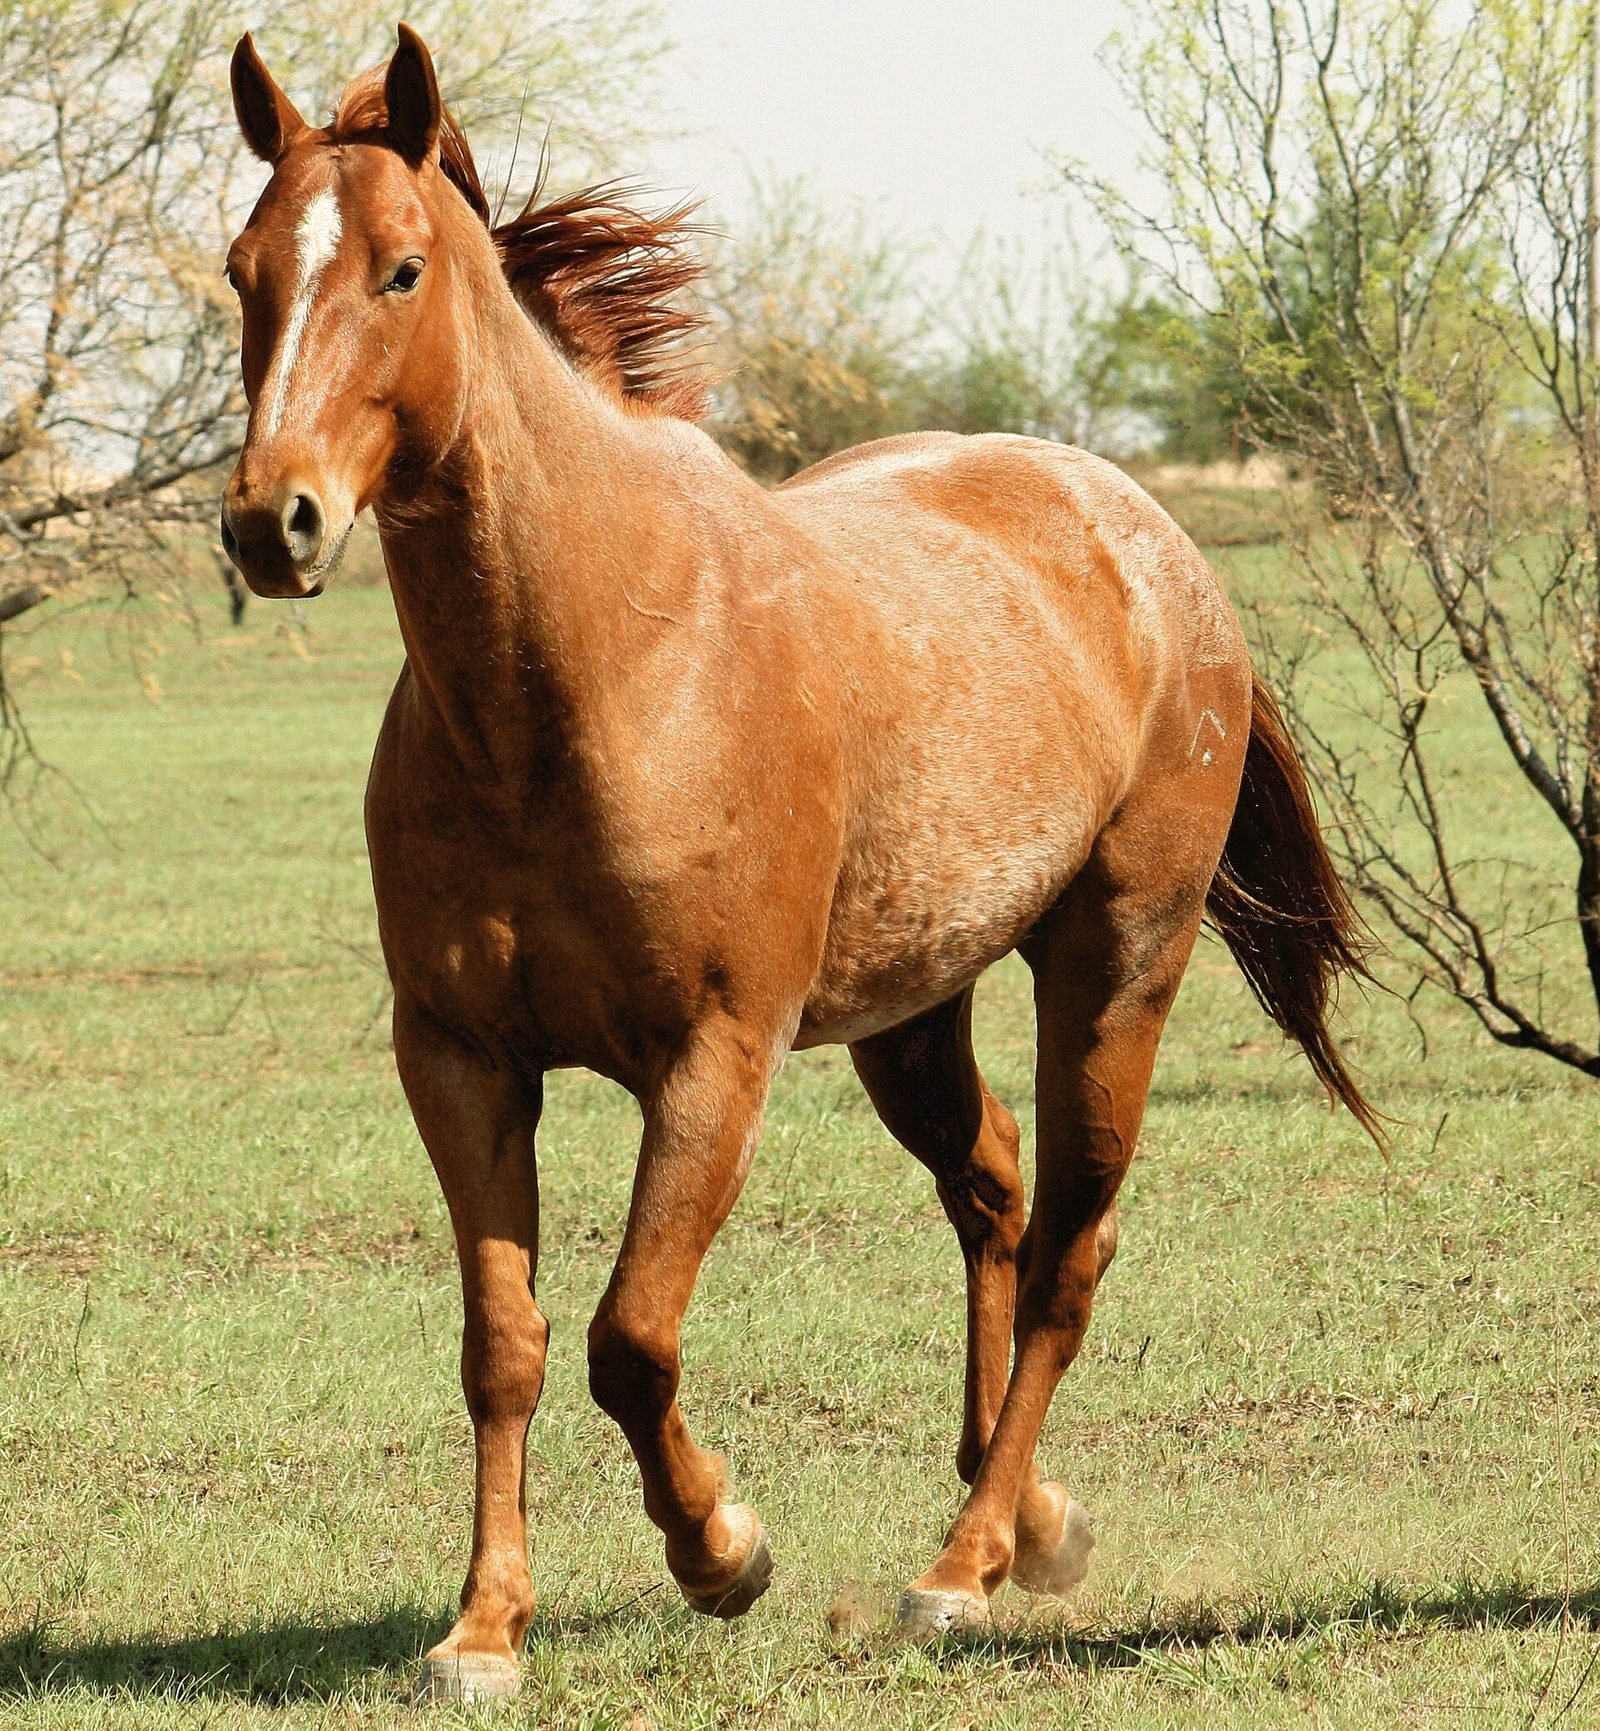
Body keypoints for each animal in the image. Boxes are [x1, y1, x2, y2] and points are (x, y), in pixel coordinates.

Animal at [220, 25, 1378, 1703]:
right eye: (243, 269)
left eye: (401, 268)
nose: (273, 518)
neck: (597, 667)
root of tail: (1149, 537)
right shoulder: (459, 1057)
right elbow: (504, 1342)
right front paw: (485, 1628)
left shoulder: (717, 1057)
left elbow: (629, 1336)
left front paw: (724, 1550)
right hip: (914, 1007)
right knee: (995, 1190)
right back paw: (1029, 1516)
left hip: (1116, 966)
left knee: (1069, 1250)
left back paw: (964, 1565)